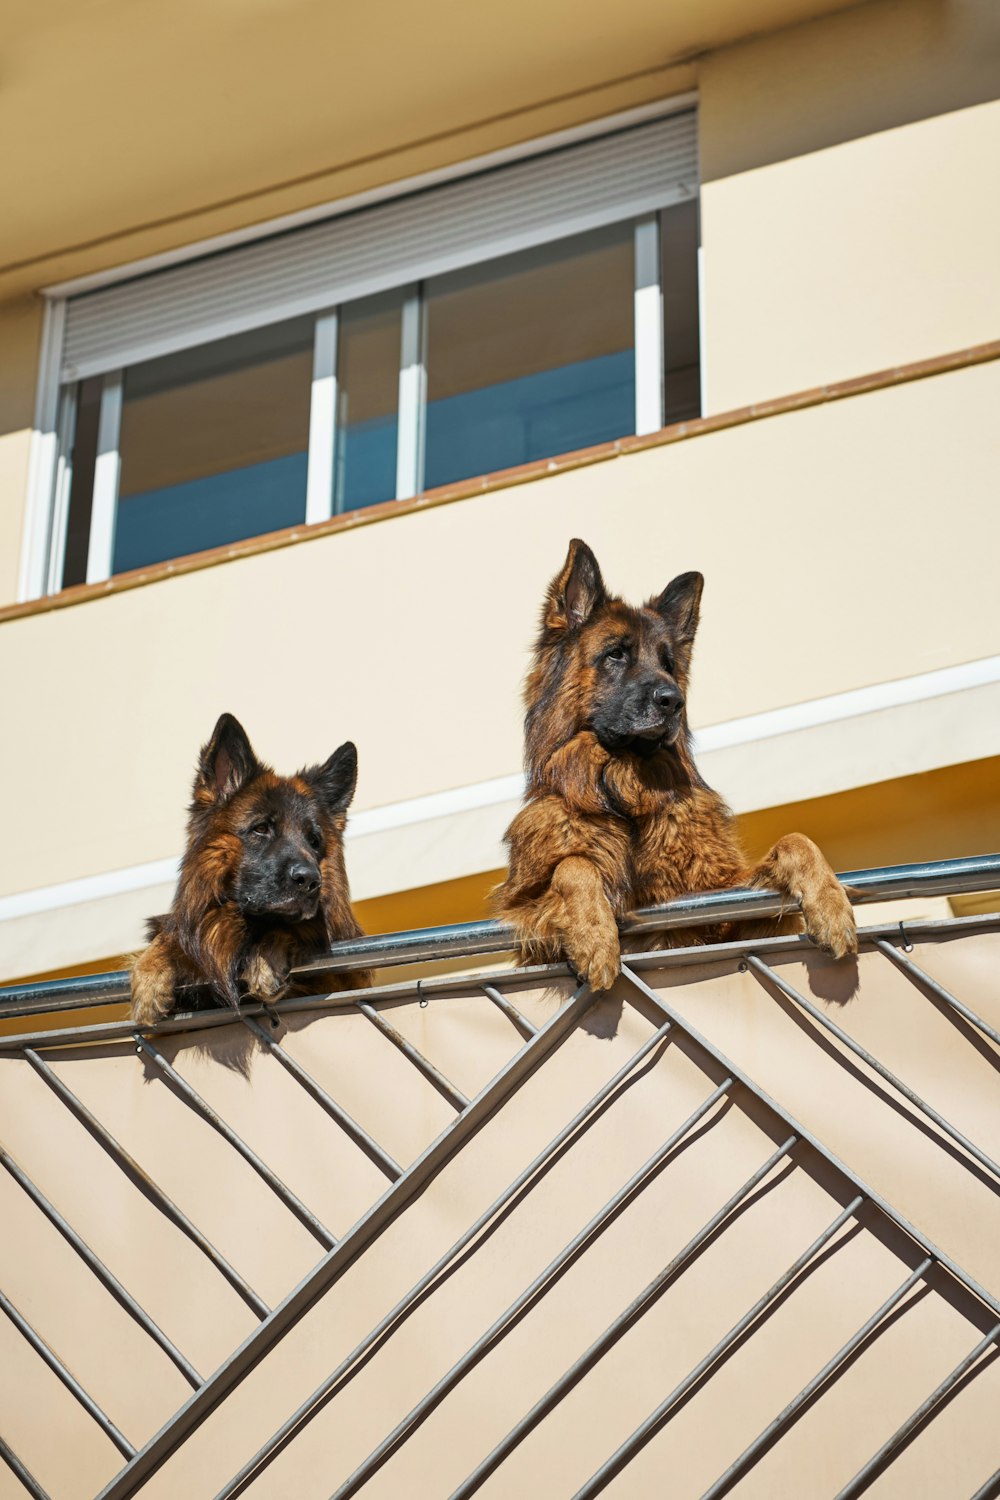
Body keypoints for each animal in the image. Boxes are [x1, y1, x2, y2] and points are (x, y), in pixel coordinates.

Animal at [128, 711, 371, 1020]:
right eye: (261, 828)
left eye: (314, 840)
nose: (310, 880)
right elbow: (172, 934)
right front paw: (149, 975)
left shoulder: (349, 977)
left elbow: (294, 927)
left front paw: (266, 961)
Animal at [494, 537, 863, 984]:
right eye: (616, 654)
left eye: (668, 664)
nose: (673, 701)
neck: (625, 794)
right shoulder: (527, 917)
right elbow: (575, 865)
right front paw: (594, 937)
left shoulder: (716, 904)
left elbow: (796, 839)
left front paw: (832, 906)